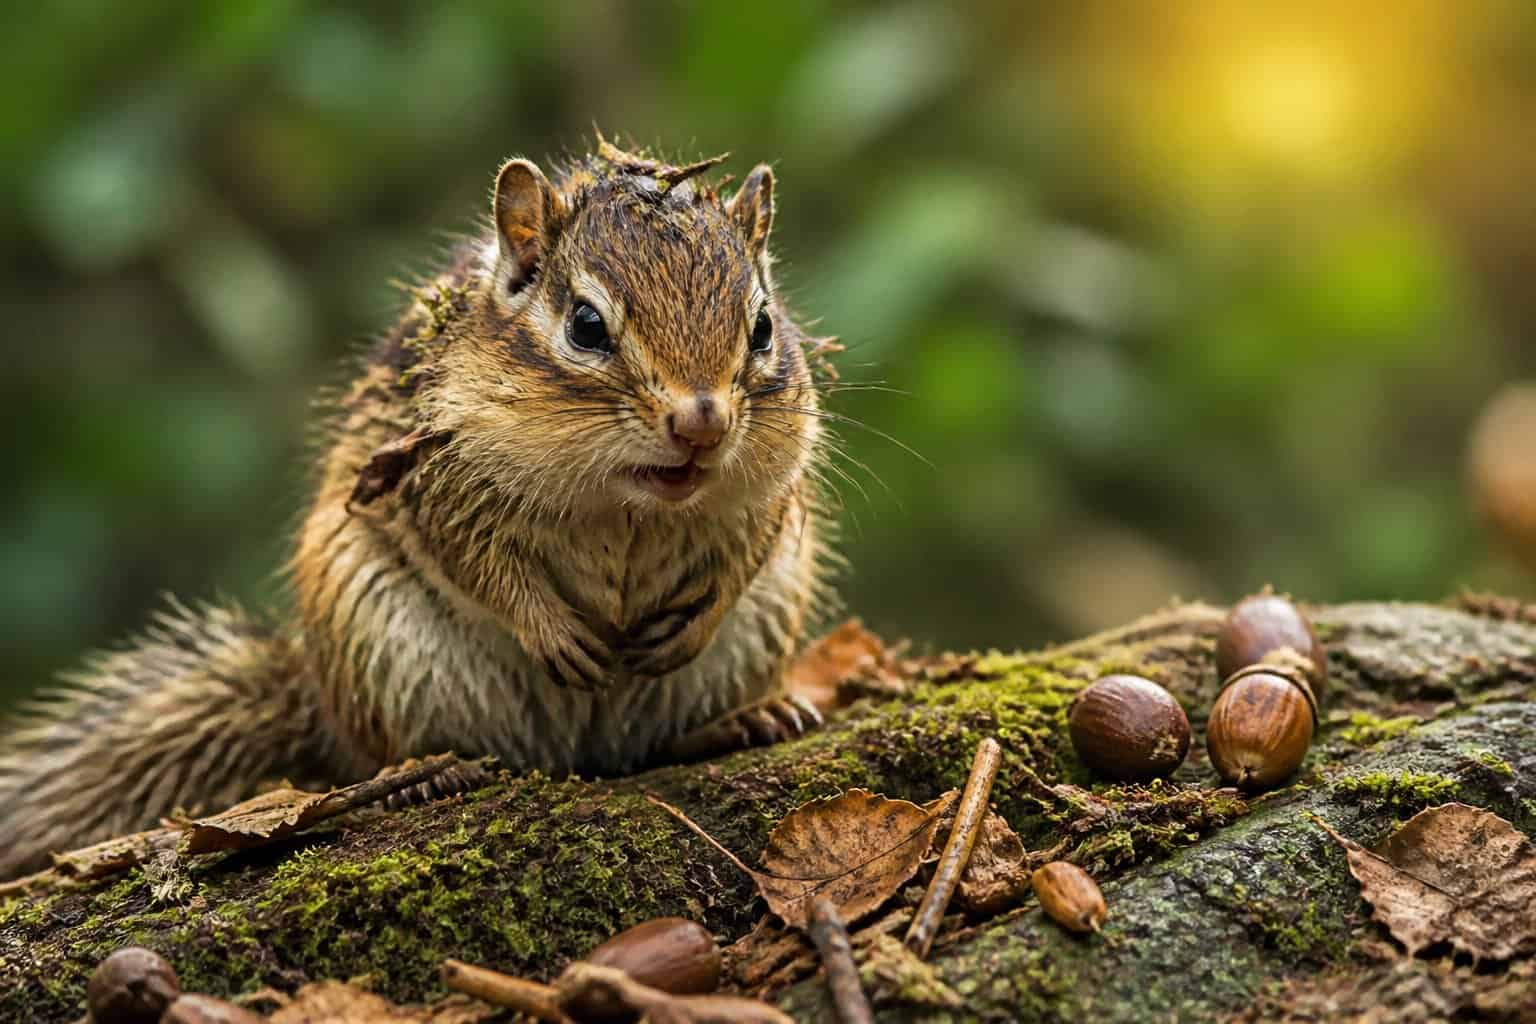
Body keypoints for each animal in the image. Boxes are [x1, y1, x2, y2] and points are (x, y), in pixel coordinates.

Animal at [0, 141, 841, 879]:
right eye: (586, 325)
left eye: (764, 326)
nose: (701, 424)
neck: (626, 498)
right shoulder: (435, 475)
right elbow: (476, 559)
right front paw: (551, 630)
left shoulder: (772, 492)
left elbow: (745, 550)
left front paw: (695, 621)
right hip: (377, 645)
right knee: (390, 755)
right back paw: (429, 773)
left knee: (667, 742)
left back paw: (746, 720)